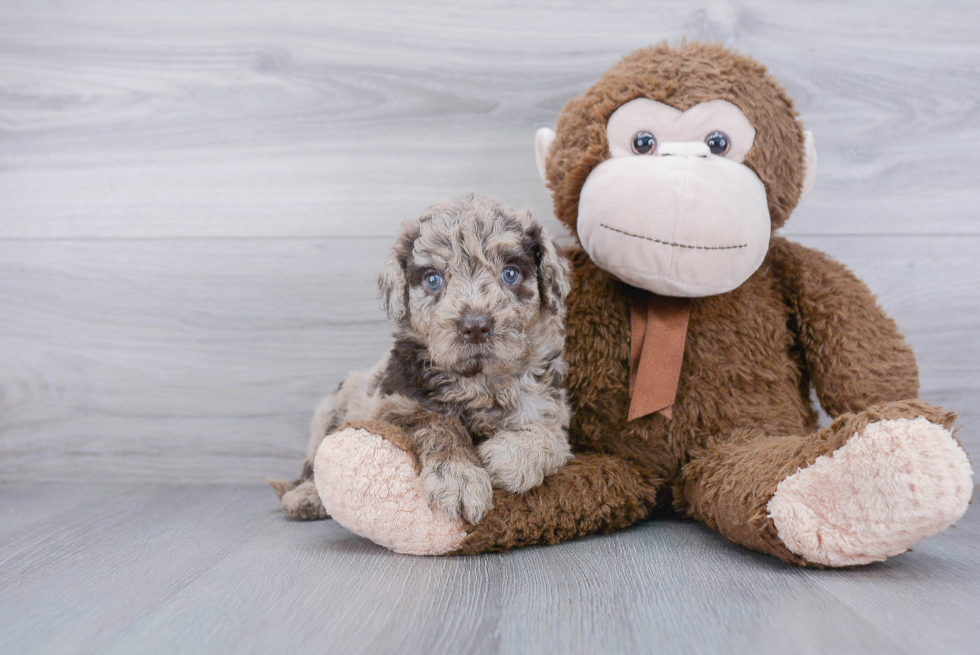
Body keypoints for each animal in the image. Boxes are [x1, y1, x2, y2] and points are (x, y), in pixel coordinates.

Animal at [270, 193, 576, 524]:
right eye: (433, 280)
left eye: (510, 274)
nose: (475, 326)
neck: (478, 381)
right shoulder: (387, 408)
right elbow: (436, 422)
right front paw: (458, 479)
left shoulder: (549, 409)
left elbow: (551, 438)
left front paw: (508, 457)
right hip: (330, 410)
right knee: (314, 462)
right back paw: (306, 497)